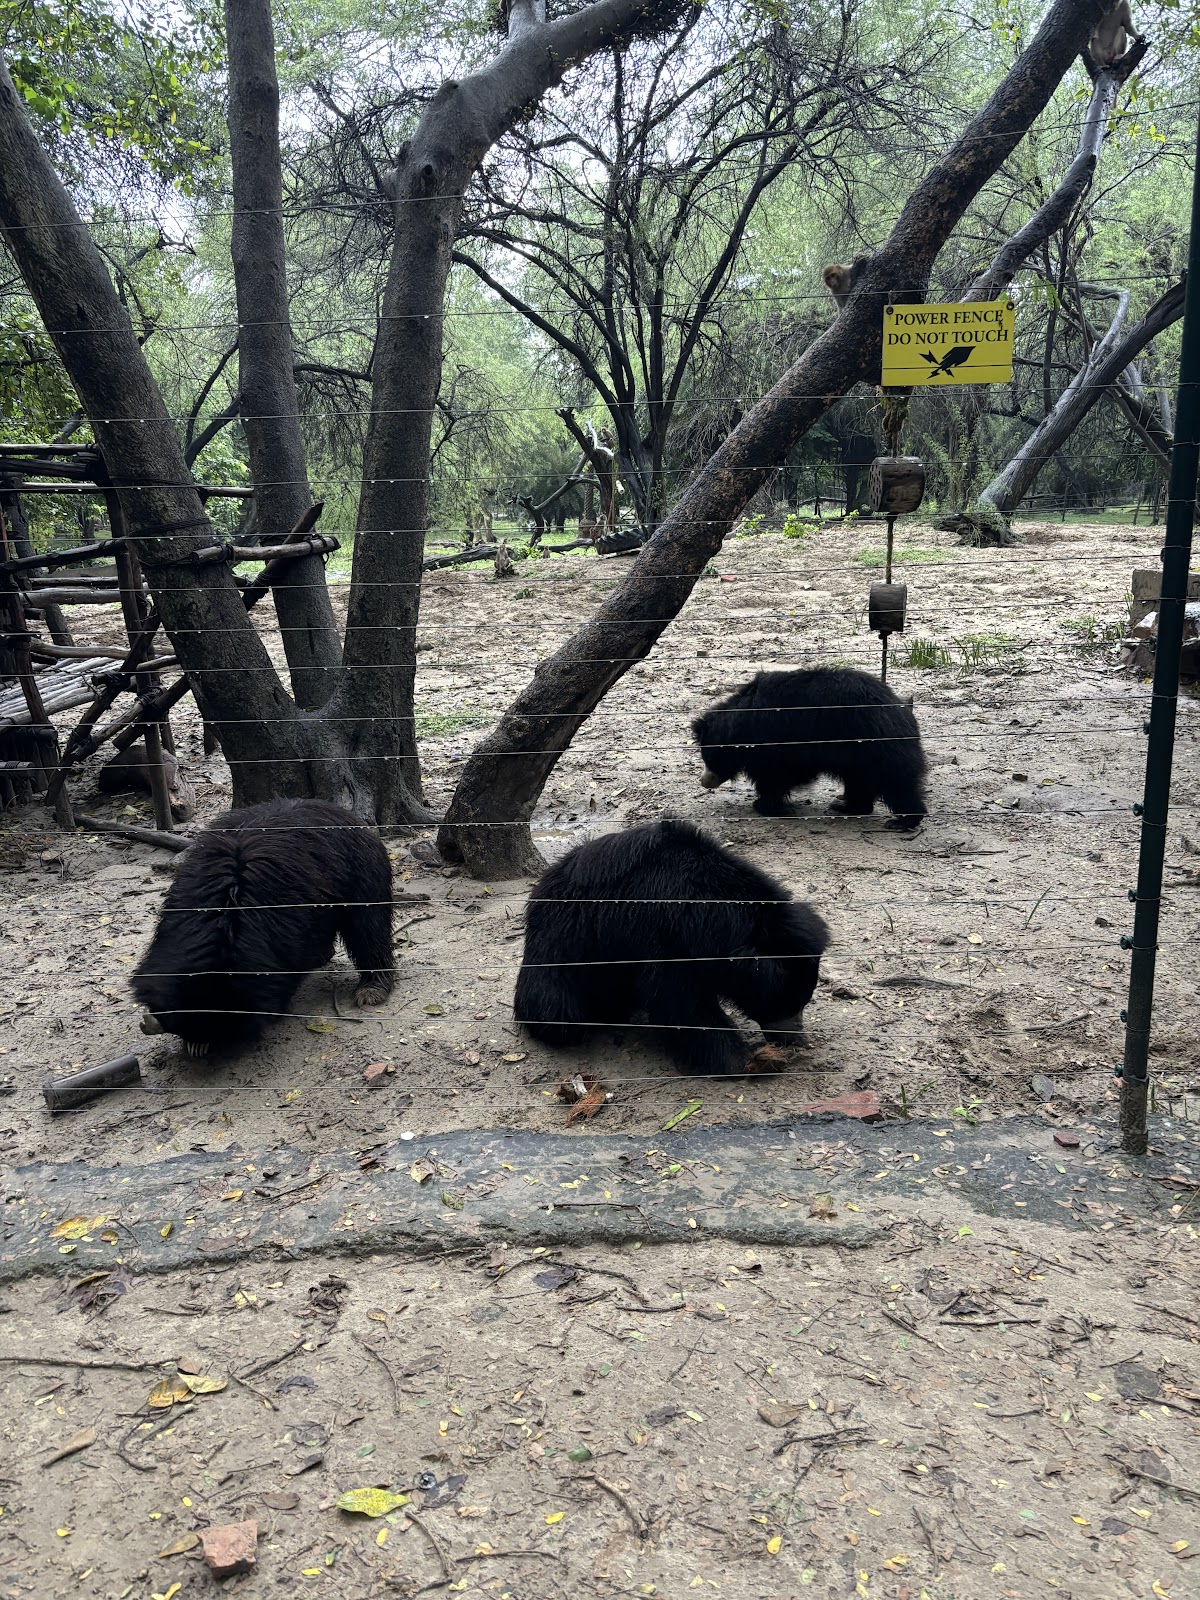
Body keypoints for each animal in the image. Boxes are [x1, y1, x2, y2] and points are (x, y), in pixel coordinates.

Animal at [513, 819, 829, 1076]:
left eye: (803, 1001)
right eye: (782, 1001)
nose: (796, 1040)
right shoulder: (663, 932)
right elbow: (677, 999)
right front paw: (741, 1059)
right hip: (565, 936)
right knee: (556, 1004)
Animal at [692, 666, 928, 829]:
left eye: (709, 759)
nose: (704, 782)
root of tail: (902, 710)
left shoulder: (776, 739)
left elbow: (777, 774)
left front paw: (765, 805)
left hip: (878, 746)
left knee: (896, 783)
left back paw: (903, 821)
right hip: (860, 754)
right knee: (859, 782)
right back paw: (846, 806)